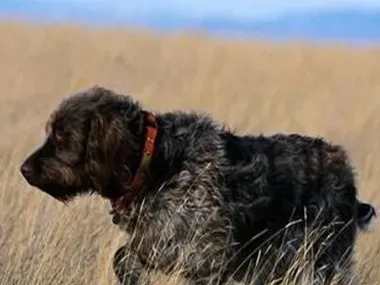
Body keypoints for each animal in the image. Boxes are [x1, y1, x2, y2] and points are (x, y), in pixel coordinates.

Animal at [20, 86, 378, 284]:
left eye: (62, 137)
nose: (24, 169)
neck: (156, 163)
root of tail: (345, 173)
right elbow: (125, 256)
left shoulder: (204, 257)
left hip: (321, 261)